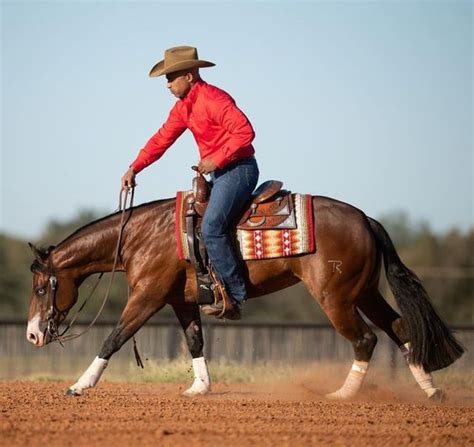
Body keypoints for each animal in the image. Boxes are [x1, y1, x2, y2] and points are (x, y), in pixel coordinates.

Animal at [25, 196, 462, 400]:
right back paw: (431, 391)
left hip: (336, 298)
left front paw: (79, 385)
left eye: (41, 287)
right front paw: (200, 388)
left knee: (366, 338)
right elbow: (195, 341)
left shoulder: (147, 297)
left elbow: (113, 338)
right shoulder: (181, 301)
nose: (31, 335)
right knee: (400, 328)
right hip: (366, 292)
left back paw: (342, 395)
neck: (142, 236)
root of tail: (365, 219)